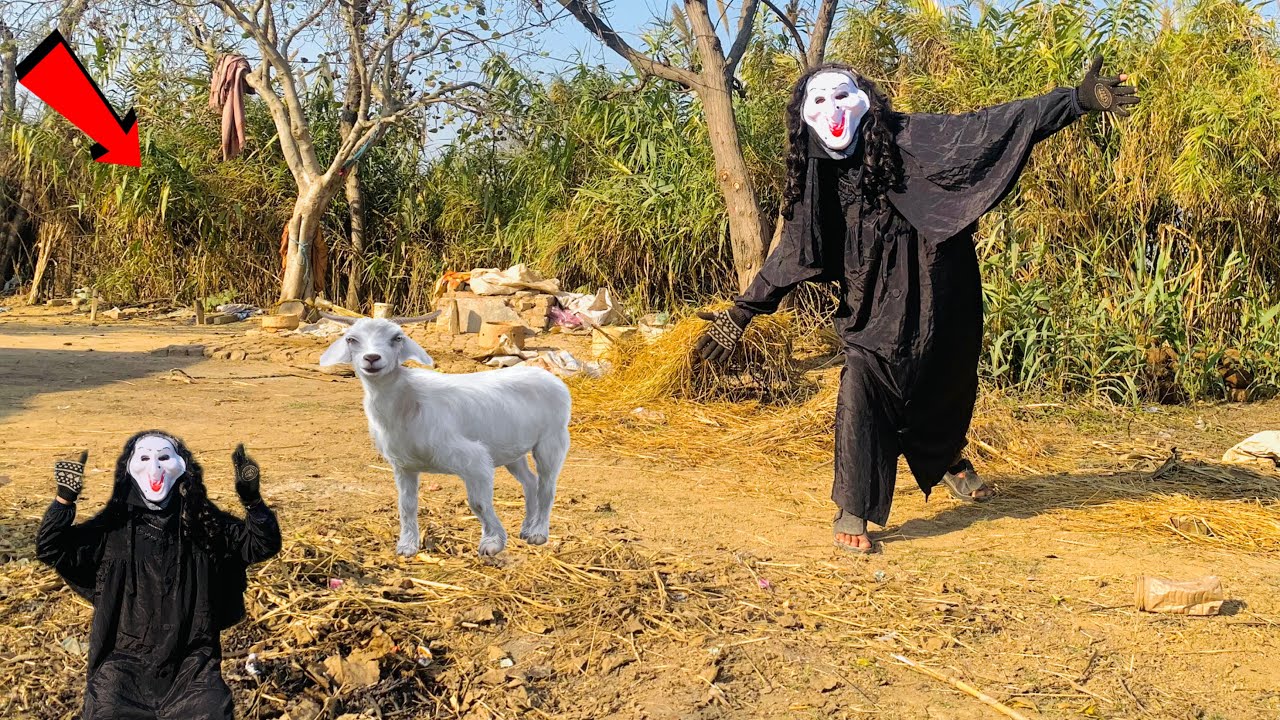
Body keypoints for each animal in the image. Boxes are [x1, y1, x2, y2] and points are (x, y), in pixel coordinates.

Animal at [319, 314, 571, 557]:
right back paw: (526, 528)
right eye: (351, 339)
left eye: (397, 337)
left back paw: (538, 534)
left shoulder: (474, 460)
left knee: (547, 487)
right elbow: (406, 505)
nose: (372, 358)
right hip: (511, 449)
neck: (407, 401)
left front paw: (493, 543)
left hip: (552, 440)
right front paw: (407, 546)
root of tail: (549, 376)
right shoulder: (403, 466)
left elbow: (478, 503)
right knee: (530, 481)